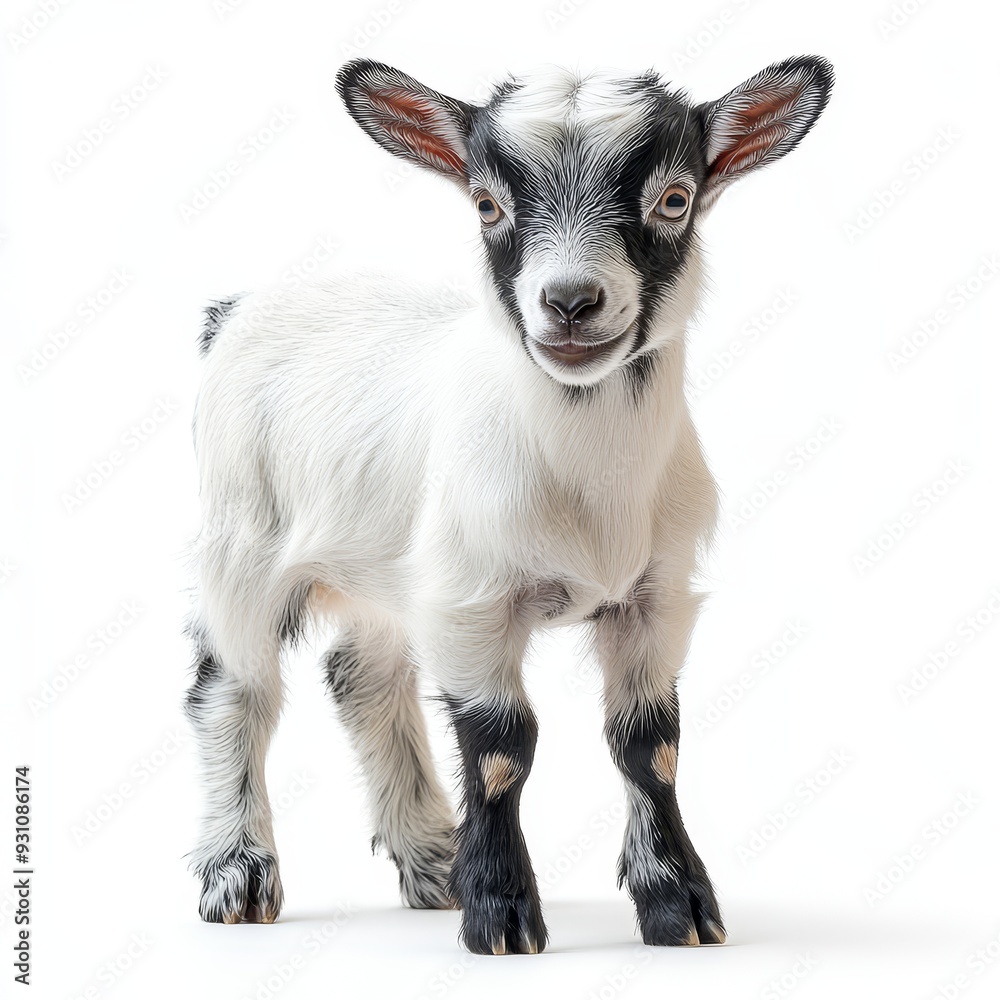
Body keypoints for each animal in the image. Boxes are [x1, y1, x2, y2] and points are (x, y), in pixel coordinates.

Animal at [184, 55, 833, 953]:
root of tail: (237, 311)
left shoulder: (653, 597)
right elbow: (501, 746)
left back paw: (430, 862)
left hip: (384, 563)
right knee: (233, 688)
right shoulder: (472, 600)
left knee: (363, 678)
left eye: (675, 199)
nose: (570, 302)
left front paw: (680, 905)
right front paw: (500, 912)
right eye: (487, 204)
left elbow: (650, 745)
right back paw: (239, 874)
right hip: (241, 537)